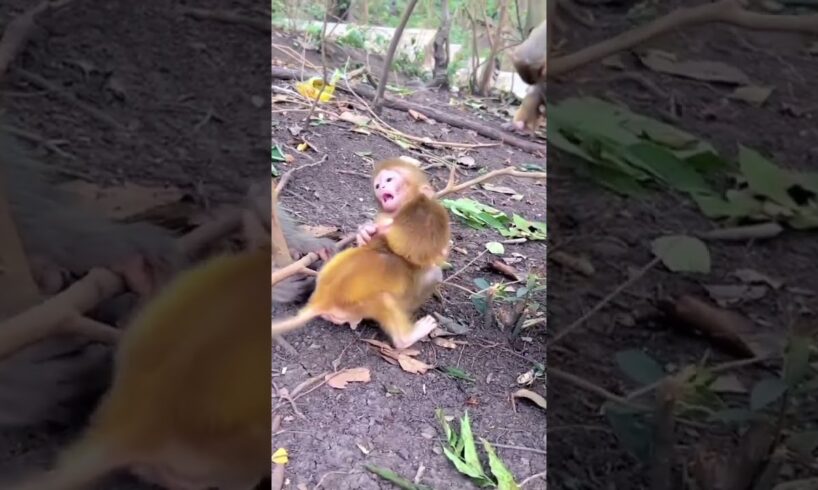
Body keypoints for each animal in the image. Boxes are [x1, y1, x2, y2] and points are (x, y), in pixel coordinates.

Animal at [270, 157, 450, 348]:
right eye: (379, 184)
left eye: (389, 180)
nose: (381, 187)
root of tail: (320, 300)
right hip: (361, 307)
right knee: (397, 294)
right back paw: (406, 338)